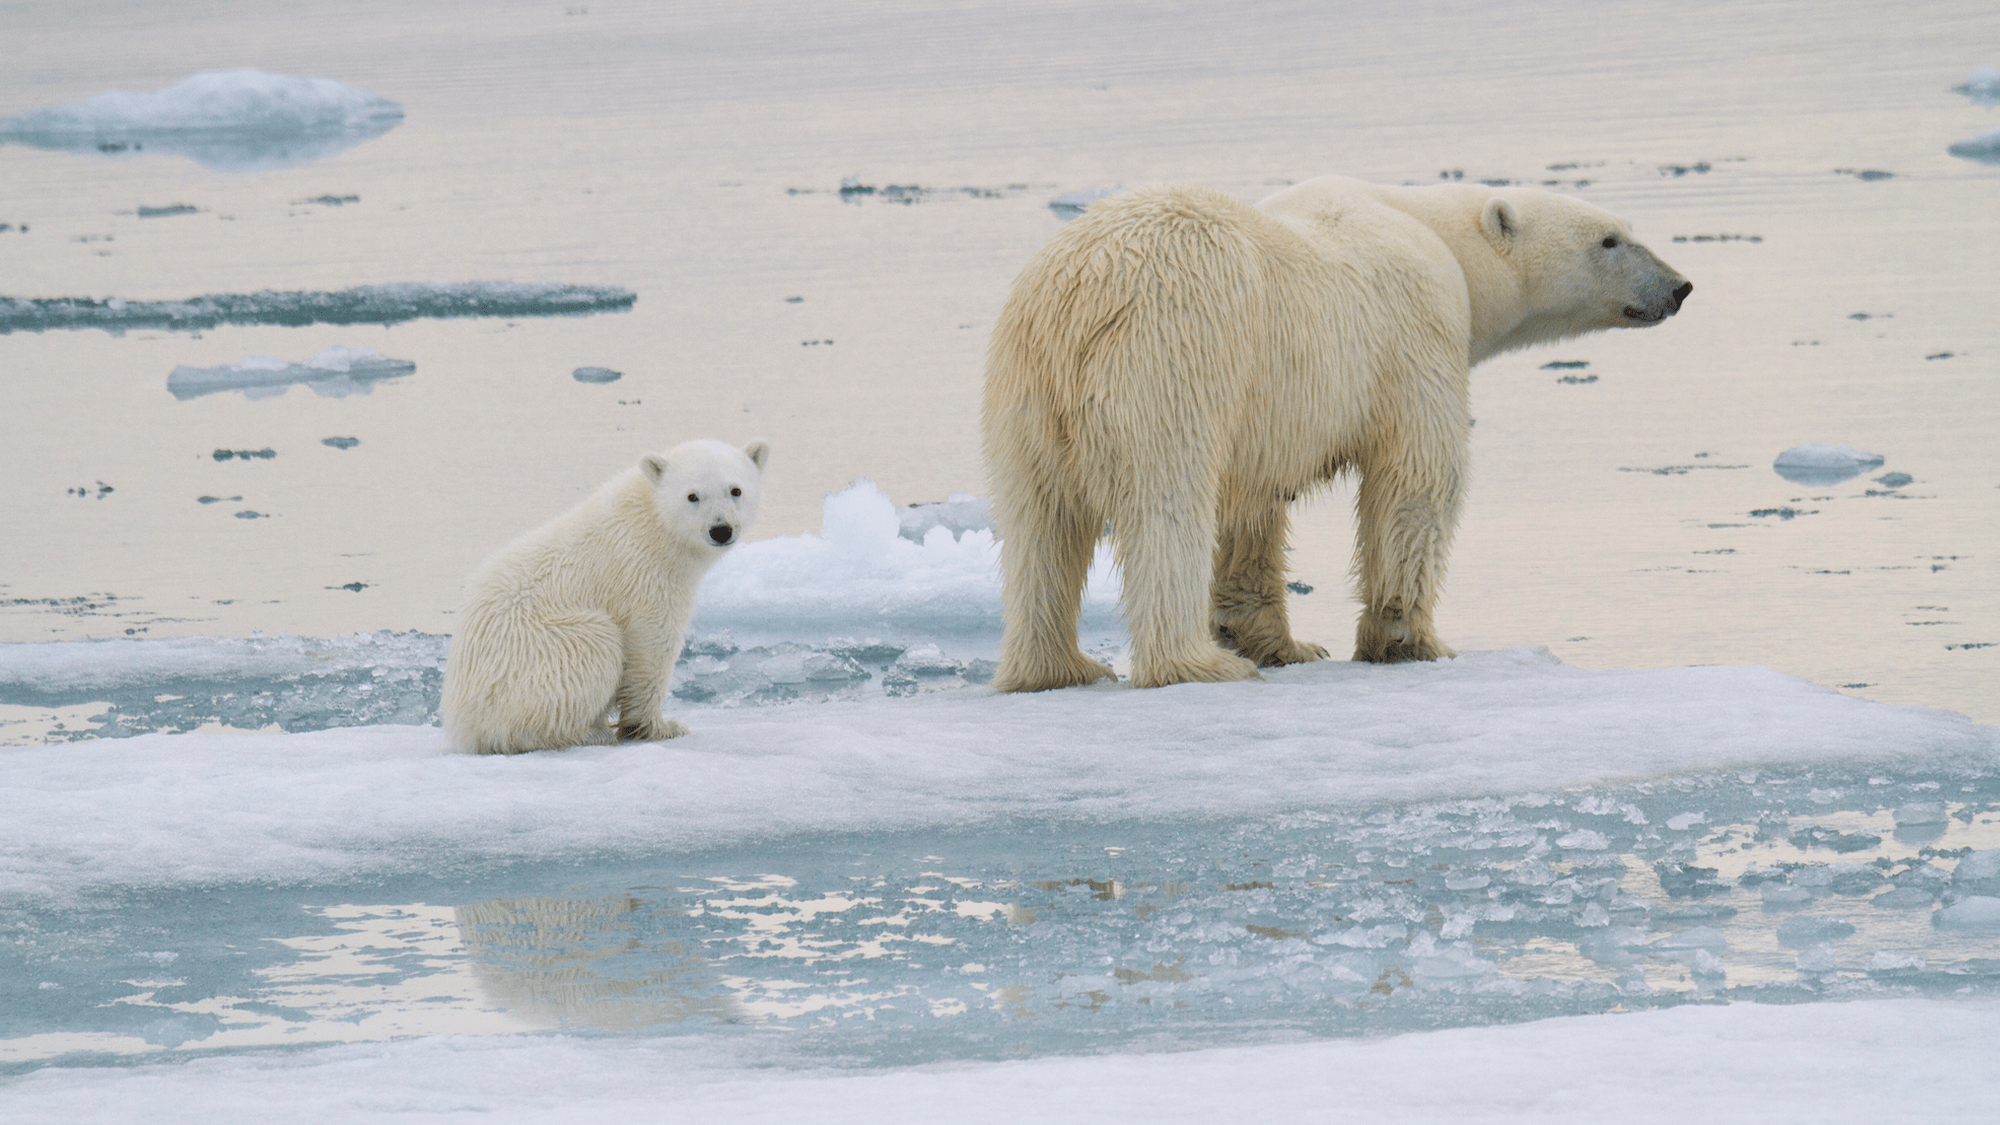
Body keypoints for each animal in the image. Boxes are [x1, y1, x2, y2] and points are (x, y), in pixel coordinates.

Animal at [984, 173, 1688, 692]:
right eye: (1609, 239)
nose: (1679, 286)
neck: (1436, 234)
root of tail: (1079, 300)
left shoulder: (1263, 413)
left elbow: (1252, 507)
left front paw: (1281, 643)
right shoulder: (1415, 333)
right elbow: (1417, 478)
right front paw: (1411, 641)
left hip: (1025, 388)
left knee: (1038, 521)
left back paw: (1058, 668)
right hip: (1171, 355)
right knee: (1166, 504)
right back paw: (1195, 664)